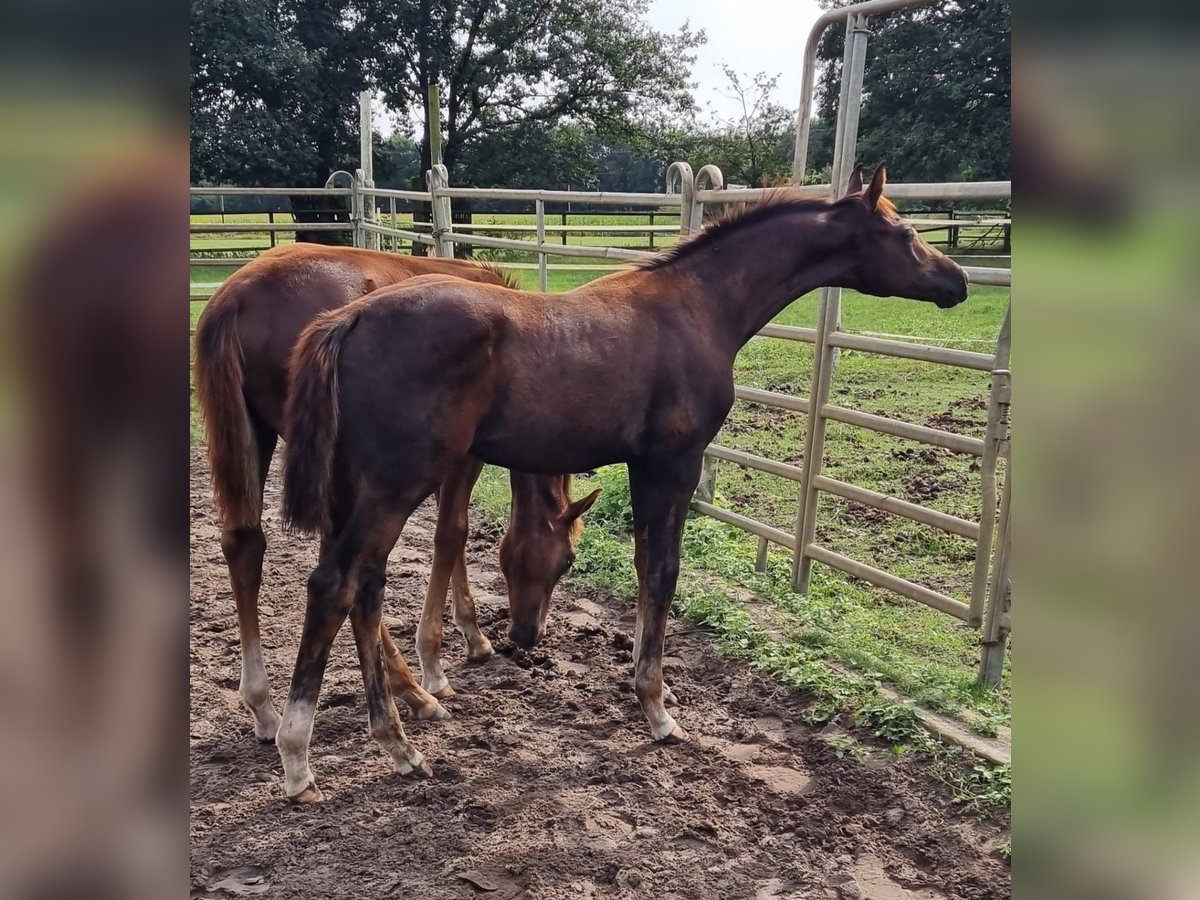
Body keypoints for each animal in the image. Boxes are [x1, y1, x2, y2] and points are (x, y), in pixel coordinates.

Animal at [193, 243, 600, 744]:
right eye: (567, 562)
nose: (527, 636)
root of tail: (234, 298)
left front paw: (472, 635)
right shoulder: (463, 457)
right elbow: (452, 533)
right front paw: (436, 662)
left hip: (258, 435)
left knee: (246, 545)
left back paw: (264, 708)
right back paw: (411, 691)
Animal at [276, 165, 969, 801]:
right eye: (906, 232)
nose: (956, 281)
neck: (697, 307)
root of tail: (351, 318)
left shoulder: (641, 465)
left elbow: (642, 567)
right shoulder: (673, 462)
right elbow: (662, 571)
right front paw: (657, 709)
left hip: (364, 485)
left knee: (364, 586)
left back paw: (393, 731)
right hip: (399, 481)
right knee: (335, 583)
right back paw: (313, 754)